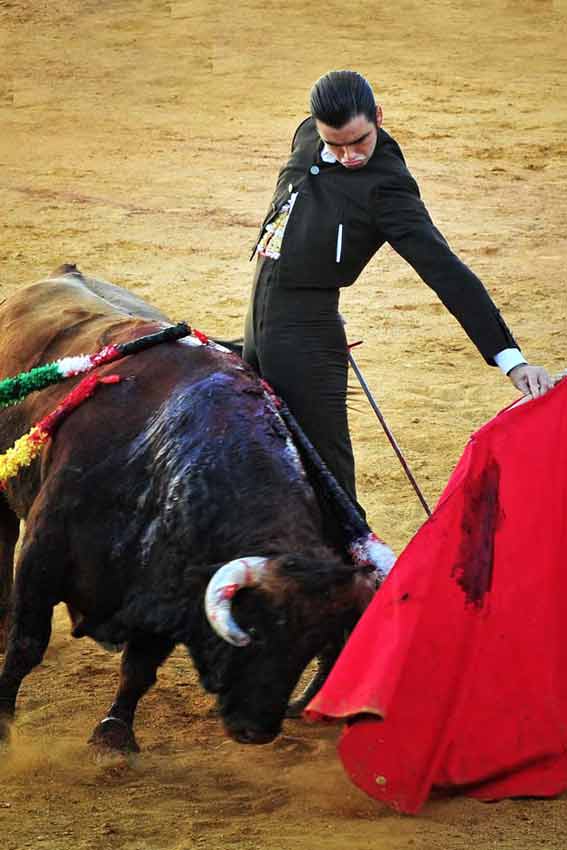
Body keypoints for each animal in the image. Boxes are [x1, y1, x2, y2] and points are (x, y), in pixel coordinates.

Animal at [0, 264, 392, 748]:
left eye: (310, 647)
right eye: (255, 632)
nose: (257, 729)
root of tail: (59, 273)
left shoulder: (167, 581)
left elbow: (139, 668)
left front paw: (114, 737)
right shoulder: (44, 552)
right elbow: (26, 646)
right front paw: (3, 724)